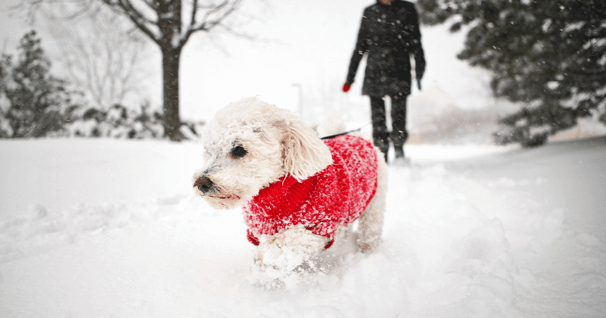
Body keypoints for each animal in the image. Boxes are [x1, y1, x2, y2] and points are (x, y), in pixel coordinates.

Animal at [195, 97, 390, 286]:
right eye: (209, 150)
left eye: (239, 150)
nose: (201, 182)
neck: (276, 194)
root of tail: (357, 137)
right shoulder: (257, 232)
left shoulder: (320, 226)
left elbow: (288, 242)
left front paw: (268, 266)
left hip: (374, 207)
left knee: (370, 232)